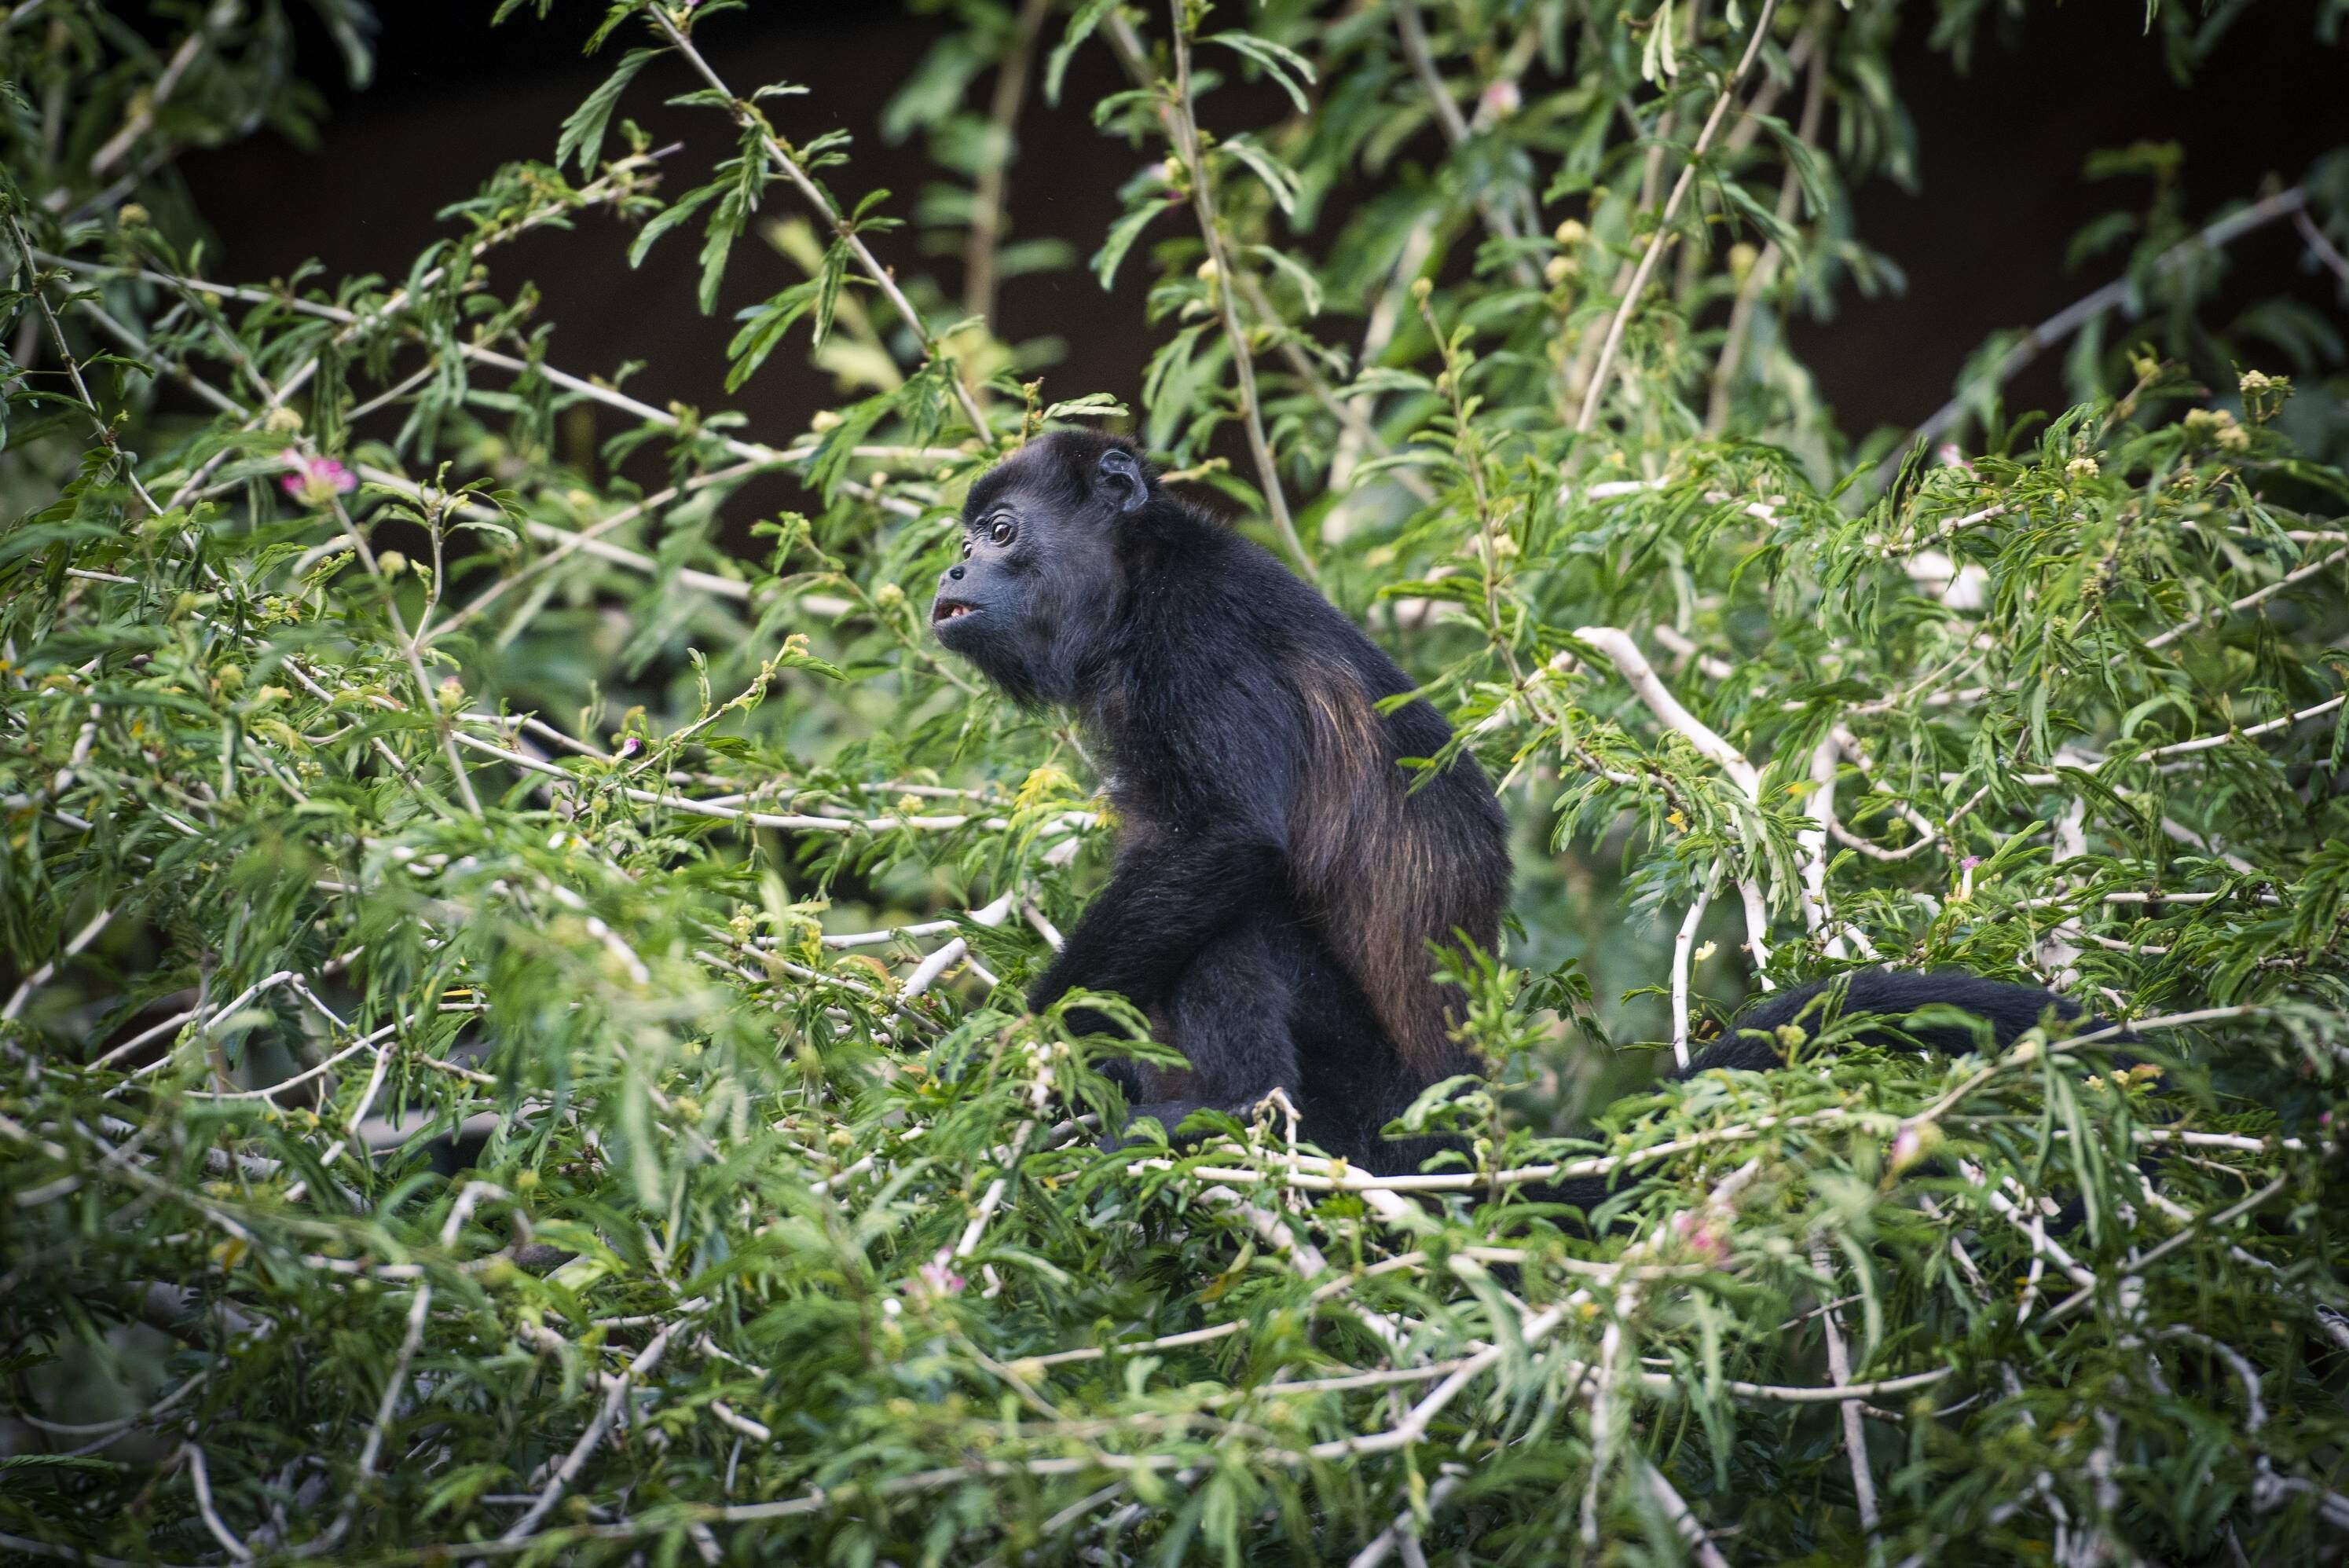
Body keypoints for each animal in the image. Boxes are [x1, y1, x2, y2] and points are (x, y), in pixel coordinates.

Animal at [929, 430, 2093, 1177]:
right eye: (966, 534)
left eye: (1000, 530)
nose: (948, 569)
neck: (1130, 587)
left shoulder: (1195, 639)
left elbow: (1222, 839)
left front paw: (1011, 1052)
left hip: (1363, 1087)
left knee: (1237, 927)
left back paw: (1238, 1122)